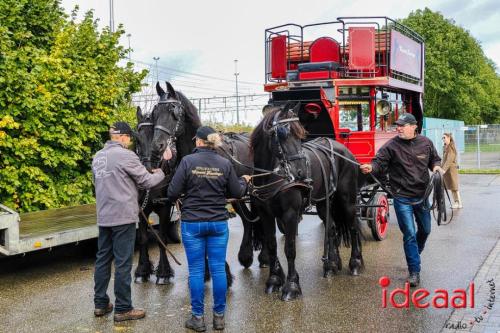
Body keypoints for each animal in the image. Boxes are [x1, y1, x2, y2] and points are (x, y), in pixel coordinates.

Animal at [133, 106, 180, 282]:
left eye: (154, 133)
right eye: (137, 139)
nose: (147, 169)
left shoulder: (164, 208)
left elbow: (162, 239)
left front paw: (164, 273)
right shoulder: (141, 210)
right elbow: (143, 238)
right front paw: (142, 270)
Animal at [250, 102, 364, 300]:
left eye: (301, 133)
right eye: (283, 133)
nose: (302, 173)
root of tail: (342, 149)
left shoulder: (290, 214)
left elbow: (289, 248)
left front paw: (292, 286)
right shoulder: (265, 214)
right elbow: (271, 244)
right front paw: (274, 280)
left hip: (347, 199)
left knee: (353, 226)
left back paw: (355, 263)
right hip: (324, 202)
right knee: (331, 228)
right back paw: (331, 265)